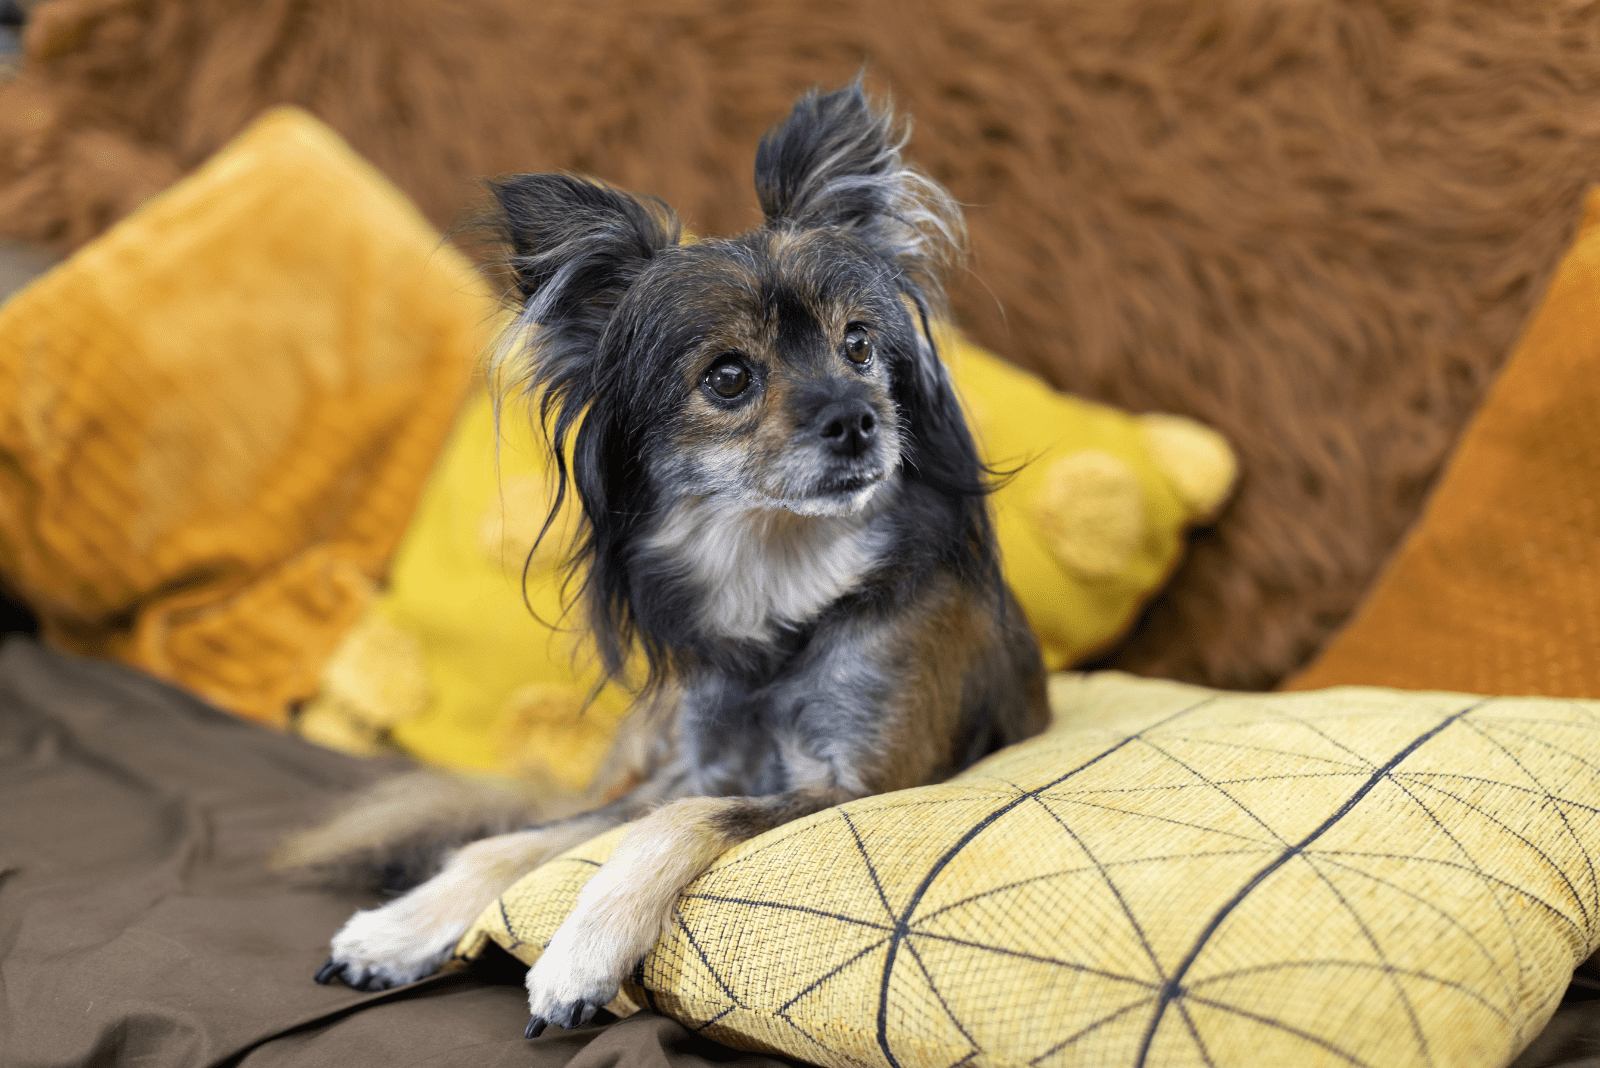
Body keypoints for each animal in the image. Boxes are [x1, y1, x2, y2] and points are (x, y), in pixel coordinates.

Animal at [299, 79, 1049, 1036]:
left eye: (859, 345)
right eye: (727, 378)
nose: (860, 418)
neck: (778, 586)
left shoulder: (869, 779)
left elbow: (684, 820)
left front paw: (579, 954)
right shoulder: (687, 764)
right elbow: (515, 843)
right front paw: (401, 927)